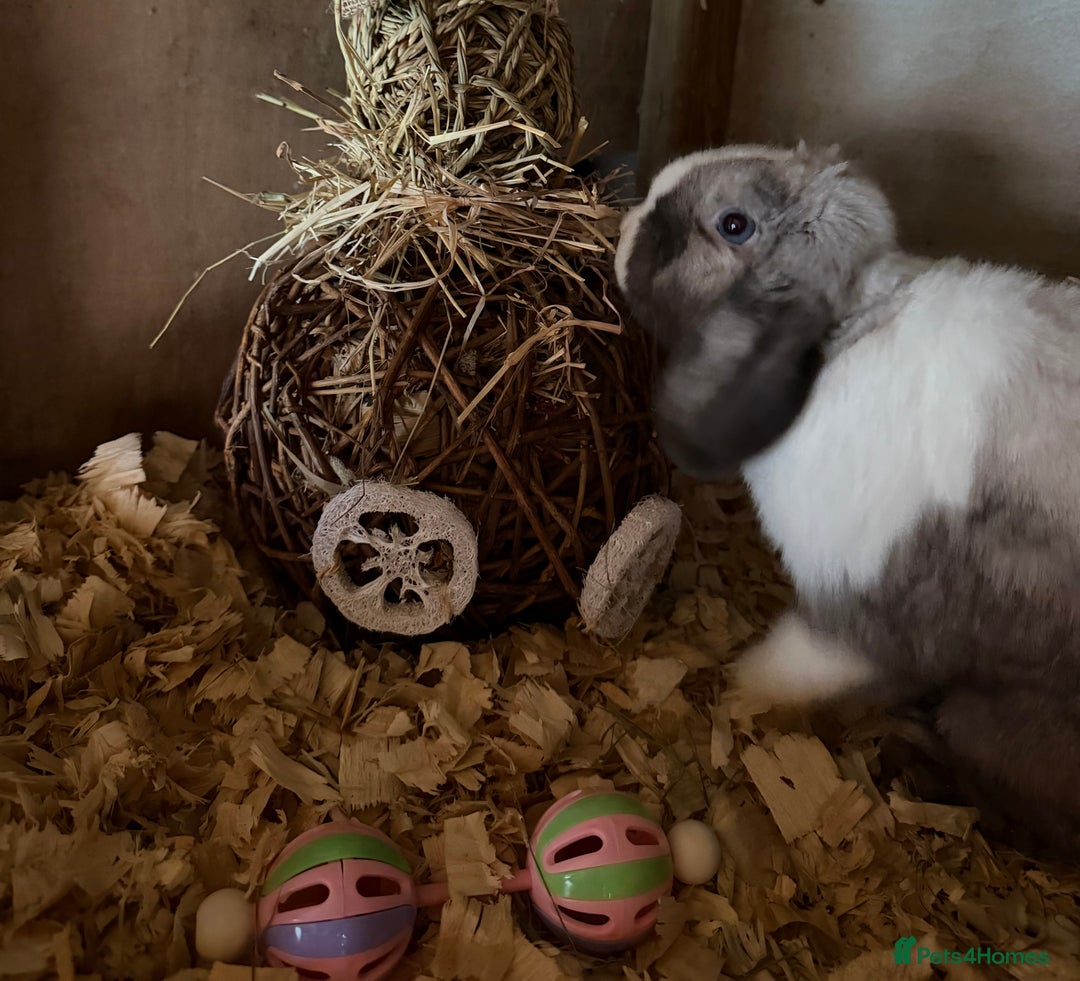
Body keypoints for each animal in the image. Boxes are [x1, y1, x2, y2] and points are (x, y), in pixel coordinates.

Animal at [614, 142, 1080, 860]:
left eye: (733, 224)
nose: (626, 222)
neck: (844, 337)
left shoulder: (851, 616)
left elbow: (788, 668)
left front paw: (742, 692)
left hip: (999, 721)